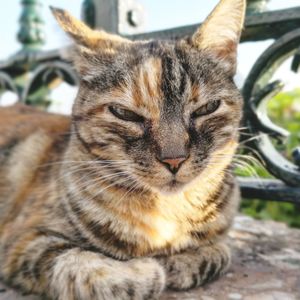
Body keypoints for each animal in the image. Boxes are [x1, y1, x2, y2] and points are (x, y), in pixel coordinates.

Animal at [0, 0, 246, 298]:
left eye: (207, 108)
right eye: (125, 114)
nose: (174, 160)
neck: (165, 210)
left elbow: (221, 251)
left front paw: (185, 260)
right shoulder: (23, 241)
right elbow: (80, 264)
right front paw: (145, 269)